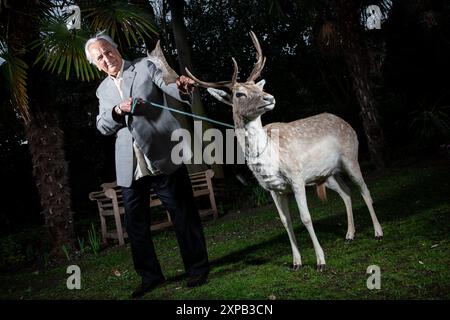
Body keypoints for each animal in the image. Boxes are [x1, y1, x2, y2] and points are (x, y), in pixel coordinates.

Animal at [185, 31, 382, 270]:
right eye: (239, 94)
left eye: (259, 87)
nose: (269, 97)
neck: (269, 159)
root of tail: (346, 122)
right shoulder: (273, 189)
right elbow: (285, 222)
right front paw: (296, 262)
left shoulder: (296, 176)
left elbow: (306, 217)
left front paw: (320, 261)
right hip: (327, 174)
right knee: (346, 192)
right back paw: (349, 234)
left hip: (351, 156)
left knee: (365, 189)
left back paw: (378, 231)